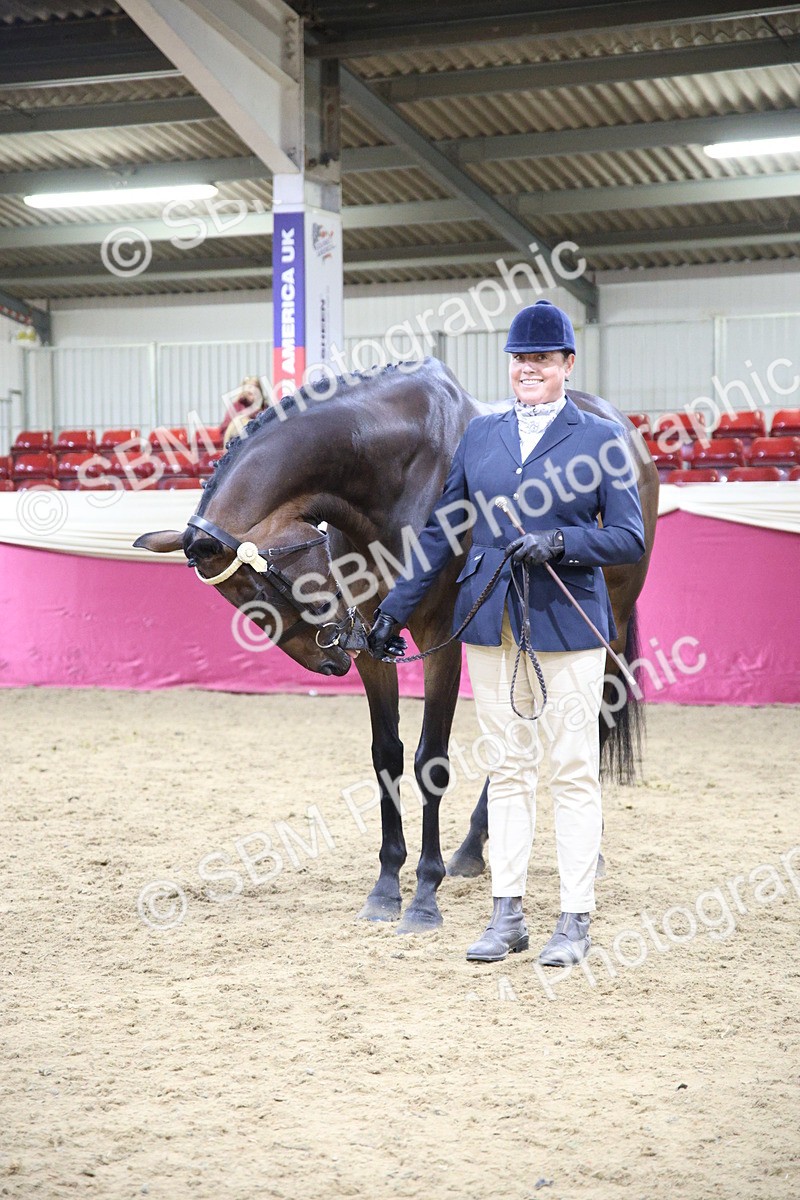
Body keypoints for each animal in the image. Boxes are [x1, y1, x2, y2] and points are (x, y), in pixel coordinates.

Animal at [135, 359, 659, 934]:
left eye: (266, 588)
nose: (330, 658)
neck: (393, 470)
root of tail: (624, 427)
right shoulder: (372, 641)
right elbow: (386, 755)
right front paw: (386, 887)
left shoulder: (442, 640)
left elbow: (432, 760)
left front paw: (425, 894)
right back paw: (473, 848)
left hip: (603, 627)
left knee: (591, 721)